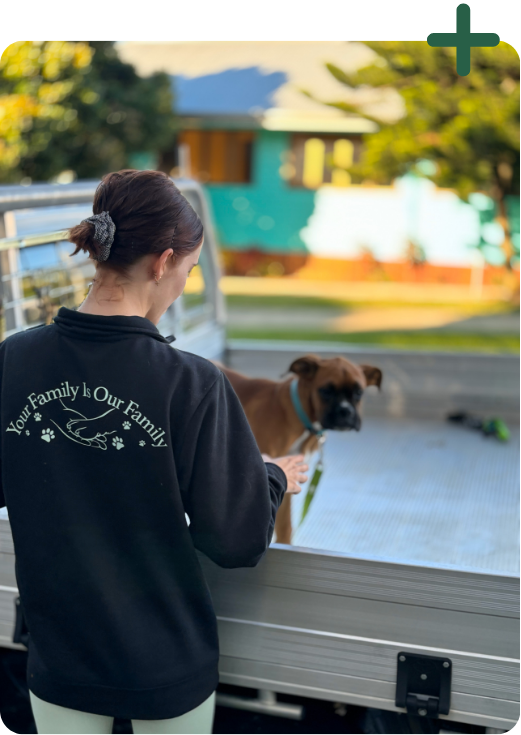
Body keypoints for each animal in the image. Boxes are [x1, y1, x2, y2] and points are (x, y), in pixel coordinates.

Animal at [208, 356, 382, 548]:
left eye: (359, 392)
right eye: (326, 391)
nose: (346, 411)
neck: (300, 415)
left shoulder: (287, 480)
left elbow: (286, 527)